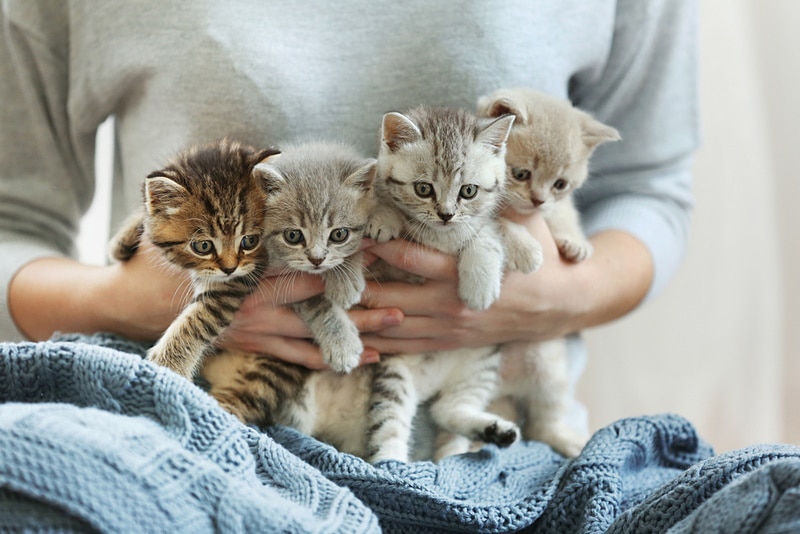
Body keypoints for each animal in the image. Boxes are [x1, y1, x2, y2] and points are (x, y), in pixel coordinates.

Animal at [109, 138, 278, 382]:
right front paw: (121, 241)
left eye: (249, 241)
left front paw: (169, 366)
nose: (229, 268)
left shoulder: (235, 282)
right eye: (203, 246)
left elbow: (198, 319)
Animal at [478, 87, 620, 456]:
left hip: (550, 369)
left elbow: (564, 216)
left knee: (542, 425)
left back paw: (566, 440)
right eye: (521, 174)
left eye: (559, 184)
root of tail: (511, 386)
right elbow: (498, 224)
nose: (538, 200)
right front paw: (525, 249)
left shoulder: (557, 208)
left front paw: (575, 243)